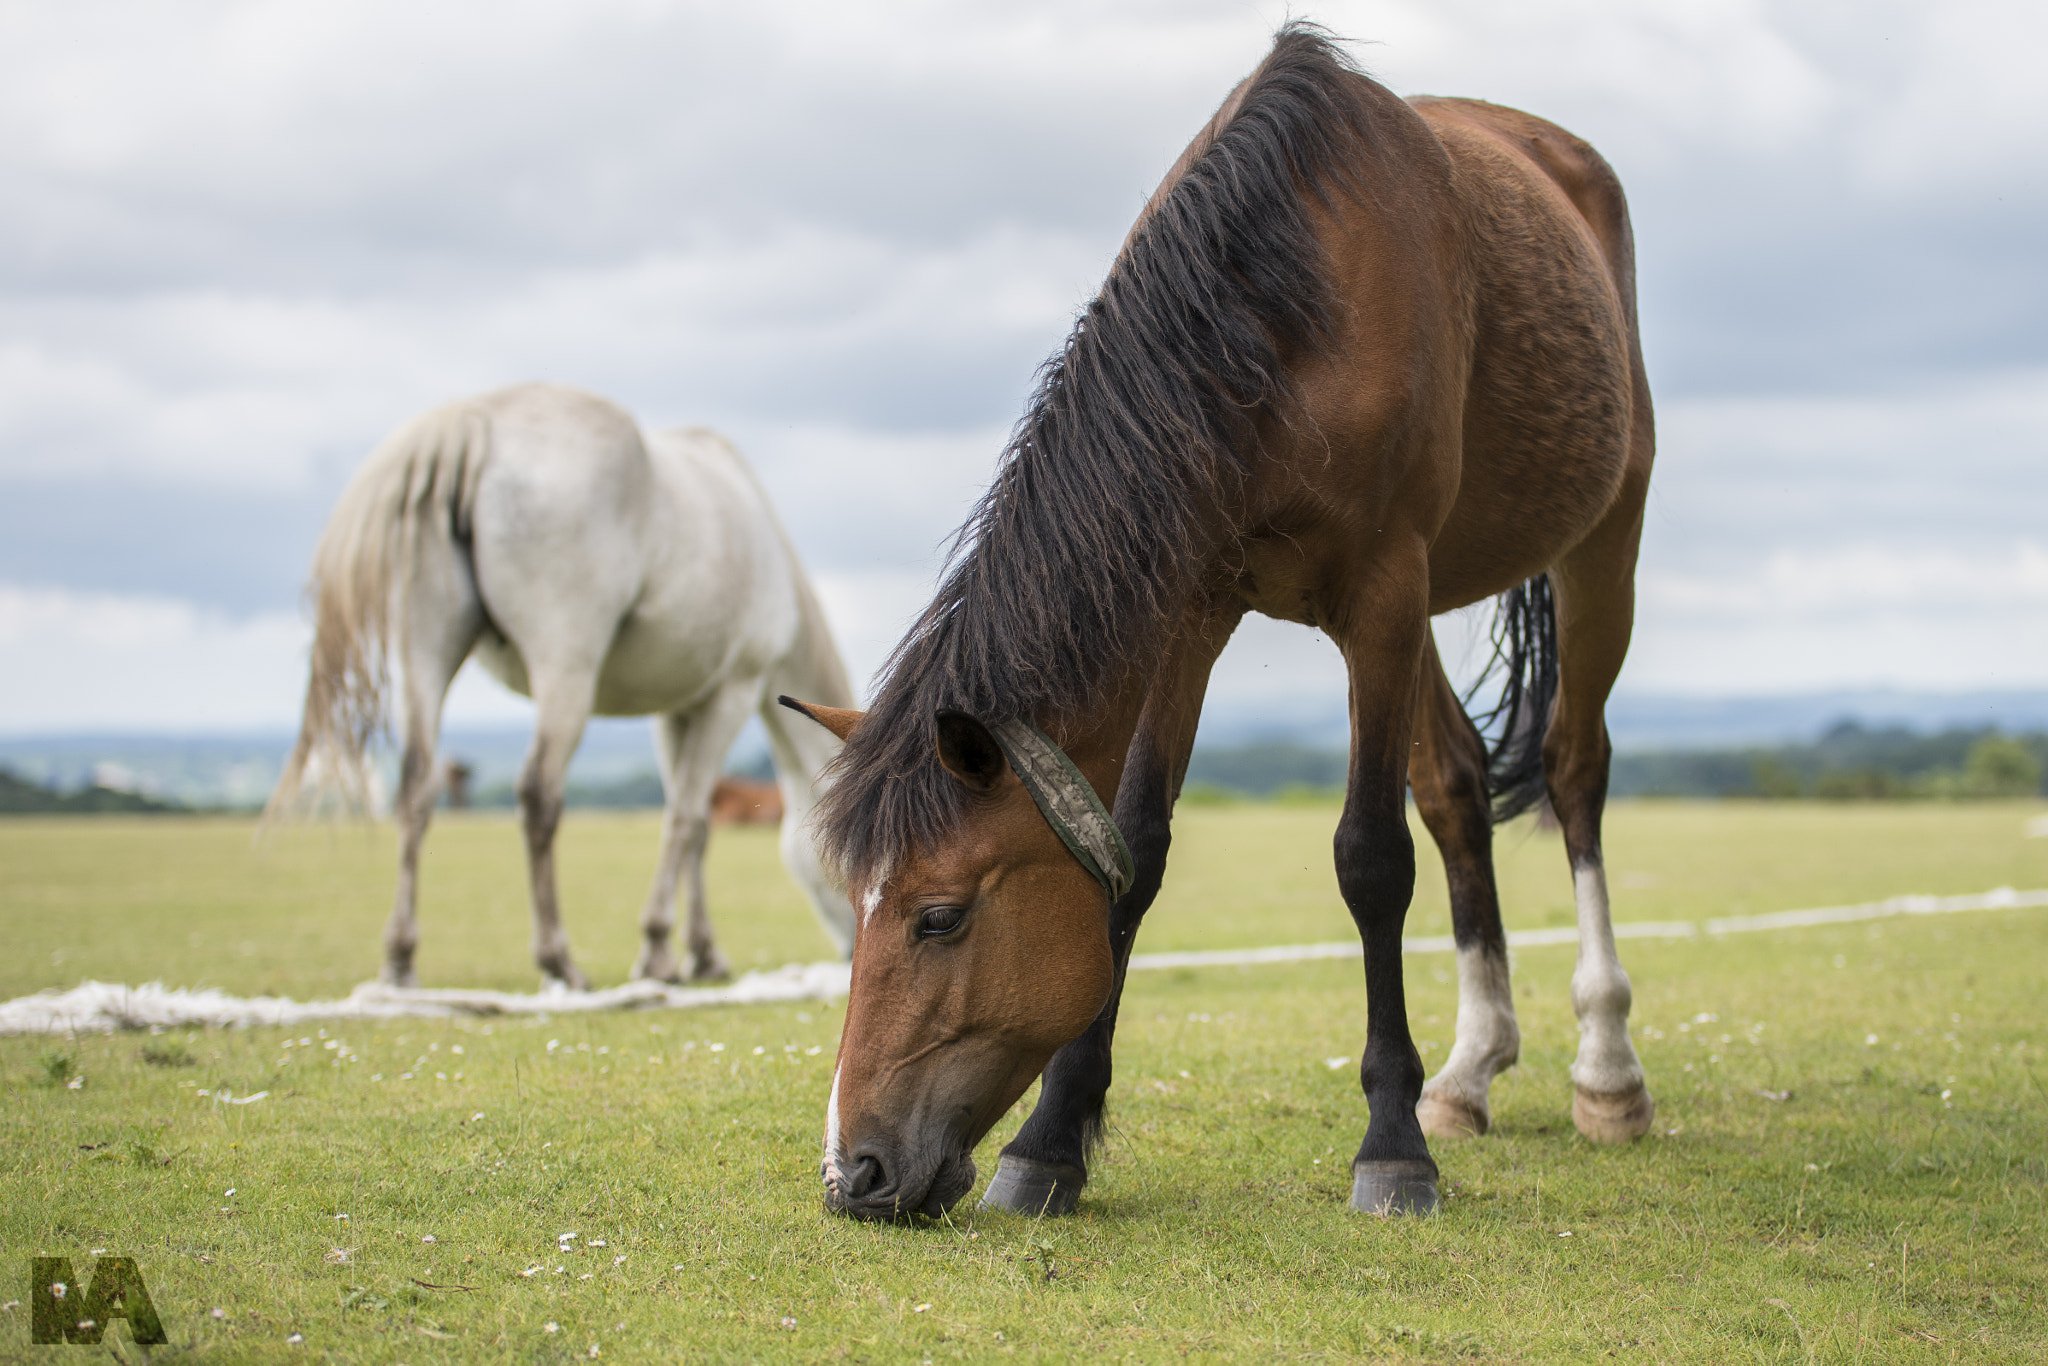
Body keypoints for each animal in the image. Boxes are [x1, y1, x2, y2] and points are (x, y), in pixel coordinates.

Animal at [272, 378, 856, 987]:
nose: (854, 952)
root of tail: (471, 422)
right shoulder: (731, 694)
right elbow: (686, 818)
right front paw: (659, 951)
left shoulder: (677, 708)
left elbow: (693, 826)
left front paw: (702, 952)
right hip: (565, 668)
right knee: (538, 794)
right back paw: (558, 959)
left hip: (426, 656)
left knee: (415, 787)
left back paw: (400, 958)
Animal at [774, 24, 1654, 1220]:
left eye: (939, 916)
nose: (850, 1171)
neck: (1280, 308)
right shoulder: (1193, 604)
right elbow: (1133, 853)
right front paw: (1050, 1139)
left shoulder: (1381, 589)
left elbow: (1370, 857)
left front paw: (1389, 1148)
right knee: (1458, 788)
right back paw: (1471, 1069)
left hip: (1598, 538)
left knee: (1572, 770)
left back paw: (1606, 1069)